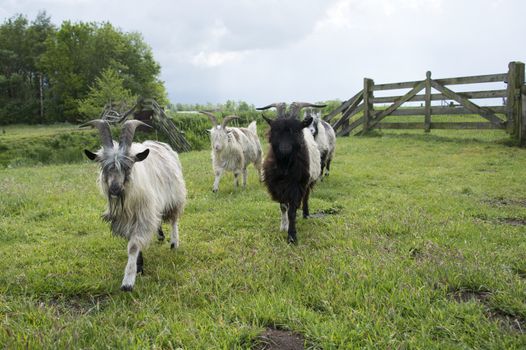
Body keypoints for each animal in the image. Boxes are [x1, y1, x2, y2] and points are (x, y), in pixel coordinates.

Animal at [83, 119, 187, 292]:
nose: (115, 189)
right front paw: (139, 267)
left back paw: (174, 243)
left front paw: (128, 282)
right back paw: (160, 236)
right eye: (104, 167)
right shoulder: (126, 220)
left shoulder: (142, 217)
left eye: (127, 166)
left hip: (175, 197)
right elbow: (133, 244)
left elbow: (133, 246)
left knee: (173, 220)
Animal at [256, 102, 326, 243]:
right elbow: (283, 207)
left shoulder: (297, 186)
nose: (284, 149)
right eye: (275, 130)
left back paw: (306, 214)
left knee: (306, 197)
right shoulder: (277, 186)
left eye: (296, 130)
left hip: (308, 181)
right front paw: (284, 226)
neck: (285, 166)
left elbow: (292, 211)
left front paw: (292, 236)